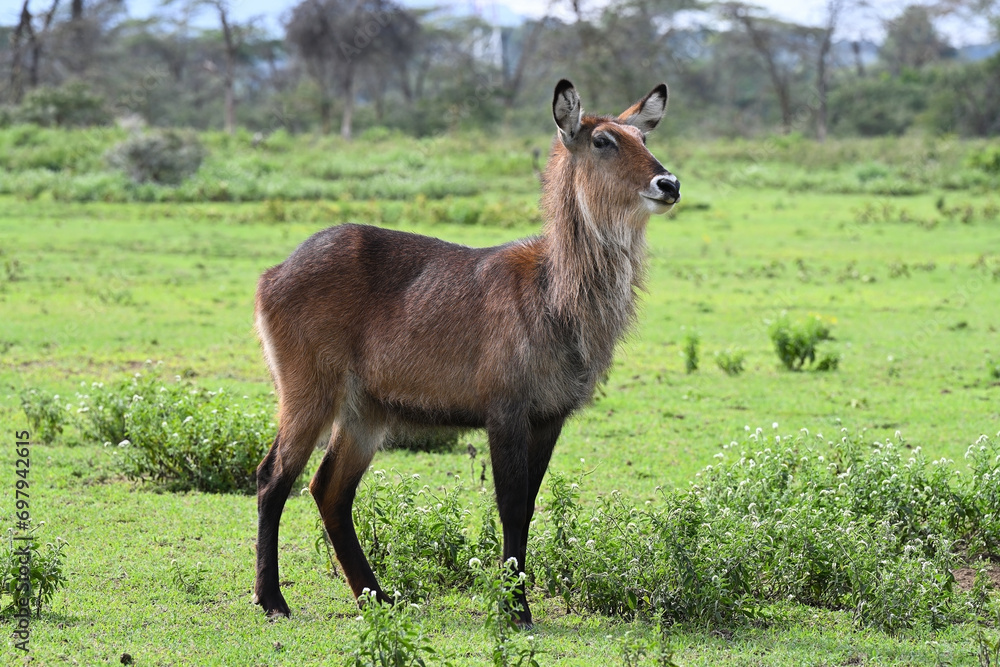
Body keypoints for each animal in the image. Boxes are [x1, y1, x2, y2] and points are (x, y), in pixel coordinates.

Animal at [252, 79, 680, 625]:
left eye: (642, 137)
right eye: (603, 140)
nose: (669, 184)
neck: (553, 293)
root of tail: (273, 273)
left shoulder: (549, 417)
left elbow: (530, 505)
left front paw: (517, 600)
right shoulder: (505, 411)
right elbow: (511, 505)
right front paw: (515, 610)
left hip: (365, 411)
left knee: (329, 489)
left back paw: (379, 597)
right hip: (308, 393)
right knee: (273, 478)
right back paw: (273, 599)